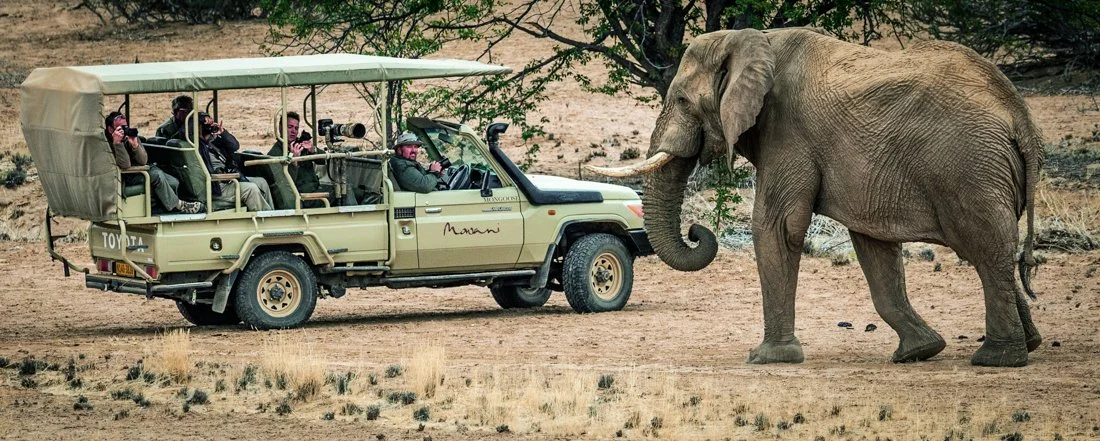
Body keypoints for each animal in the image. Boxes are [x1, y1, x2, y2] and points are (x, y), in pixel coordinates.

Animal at [589, 28, 1044, 367]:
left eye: (682, 100)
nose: (697, 230)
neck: (750, 40)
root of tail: (1018, 114)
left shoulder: (786, 130)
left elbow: (777, 226)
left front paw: (768, 358)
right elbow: (873, 245)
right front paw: (919, 352)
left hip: (969, 167)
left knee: (984, 249)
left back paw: (997, 359)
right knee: (990, 252)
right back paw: (1029, 346)